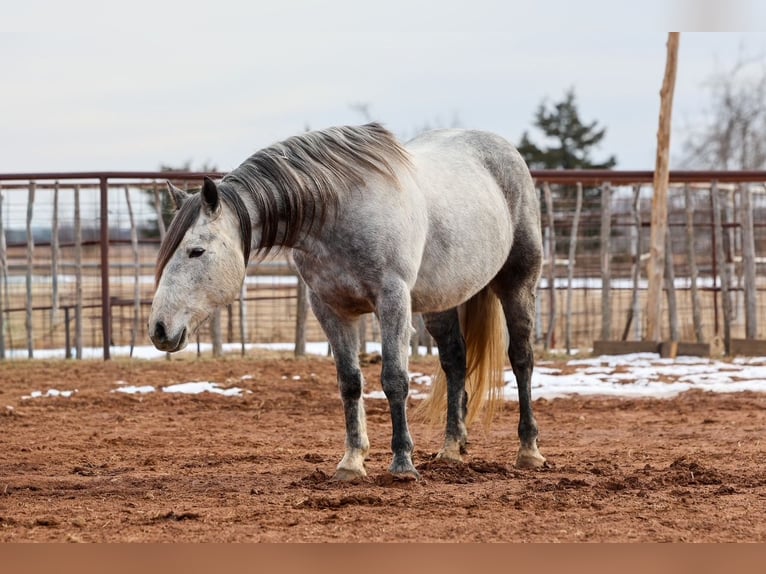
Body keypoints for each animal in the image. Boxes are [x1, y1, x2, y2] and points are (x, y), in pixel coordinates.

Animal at [148, 122, 545, 480]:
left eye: (196, 251)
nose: (159, 329)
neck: (337, 212)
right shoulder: (330, 308)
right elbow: (350, 383)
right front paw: (352, 462)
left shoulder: (392, 300)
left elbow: (394, 379)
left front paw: (402, 463)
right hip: (442, 300)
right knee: (455, 362)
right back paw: (451, 449)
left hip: (518, 282)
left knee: (521, 358)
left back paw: (529, 451)